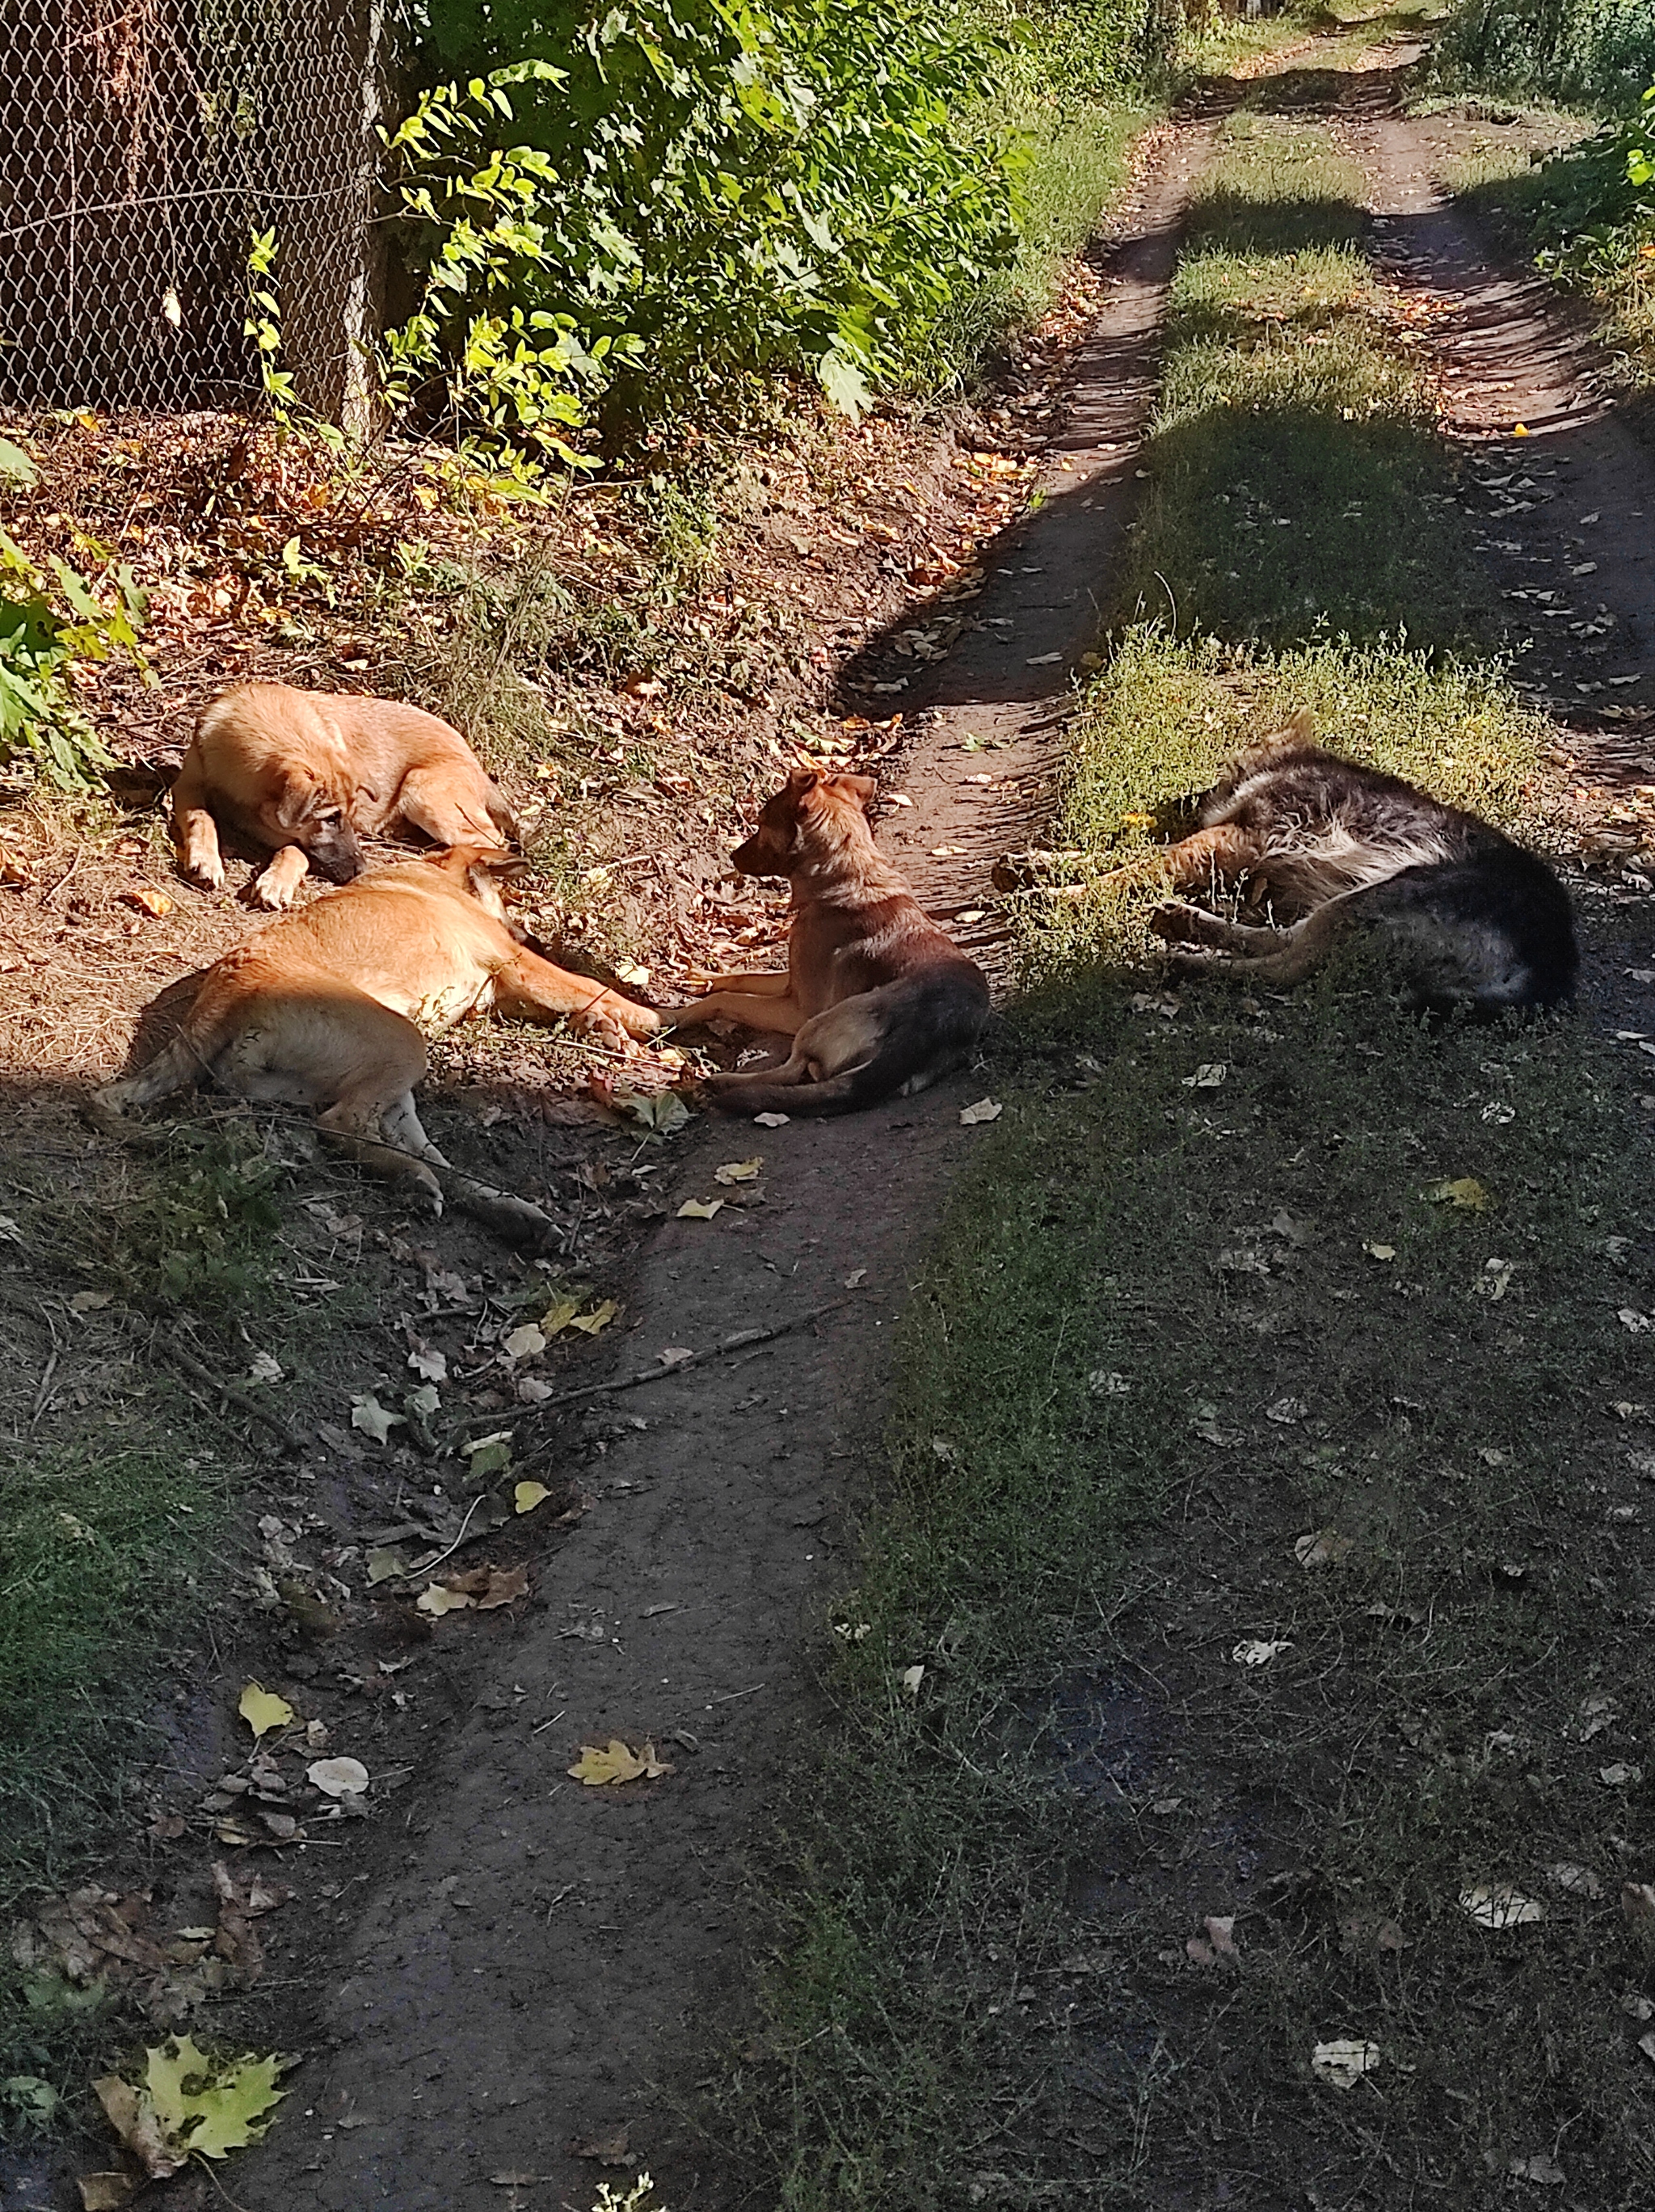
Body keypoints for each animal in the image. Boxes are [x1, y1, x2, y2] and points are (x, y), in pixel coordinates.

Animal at [92, 845, 659, 1247]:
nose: (530, 935)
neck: (434, 874)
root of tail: (224, 989)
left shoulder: (499, 990)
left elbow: (586, 1004)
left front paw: (607, 1027)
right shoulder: (517, 966)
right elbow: (597, 989)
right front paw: (658, 1019)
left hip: (388, 1078)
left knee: (423, 1158)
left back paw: (503, 1212)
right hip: (402, 1045)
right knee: (338, 1125)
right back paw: (421, 1183)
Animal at [169, 680, 517, 907]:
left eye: (345, 817)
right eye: (332, 819)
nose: (362, 870)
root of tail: (476, 764)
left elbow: (296, 850)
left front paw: (276, 882)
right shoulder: (187, 787)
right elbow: (202, 817)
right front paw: (206, 858)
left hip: (423, 790)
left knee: (491, 840)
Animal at [667, 769, 991, 1114]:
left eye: (762, 821)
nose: (731, 855)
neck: (848, 875)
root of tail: (930, 1029)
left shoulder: (797, 1009)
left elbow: (727, 999)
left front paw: (677, 1014)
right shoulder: (791, 983)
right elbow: (744, 976)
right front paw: (703, 976)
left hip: (818, 1023)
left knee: (791, 1070)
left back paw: (722, 1082)